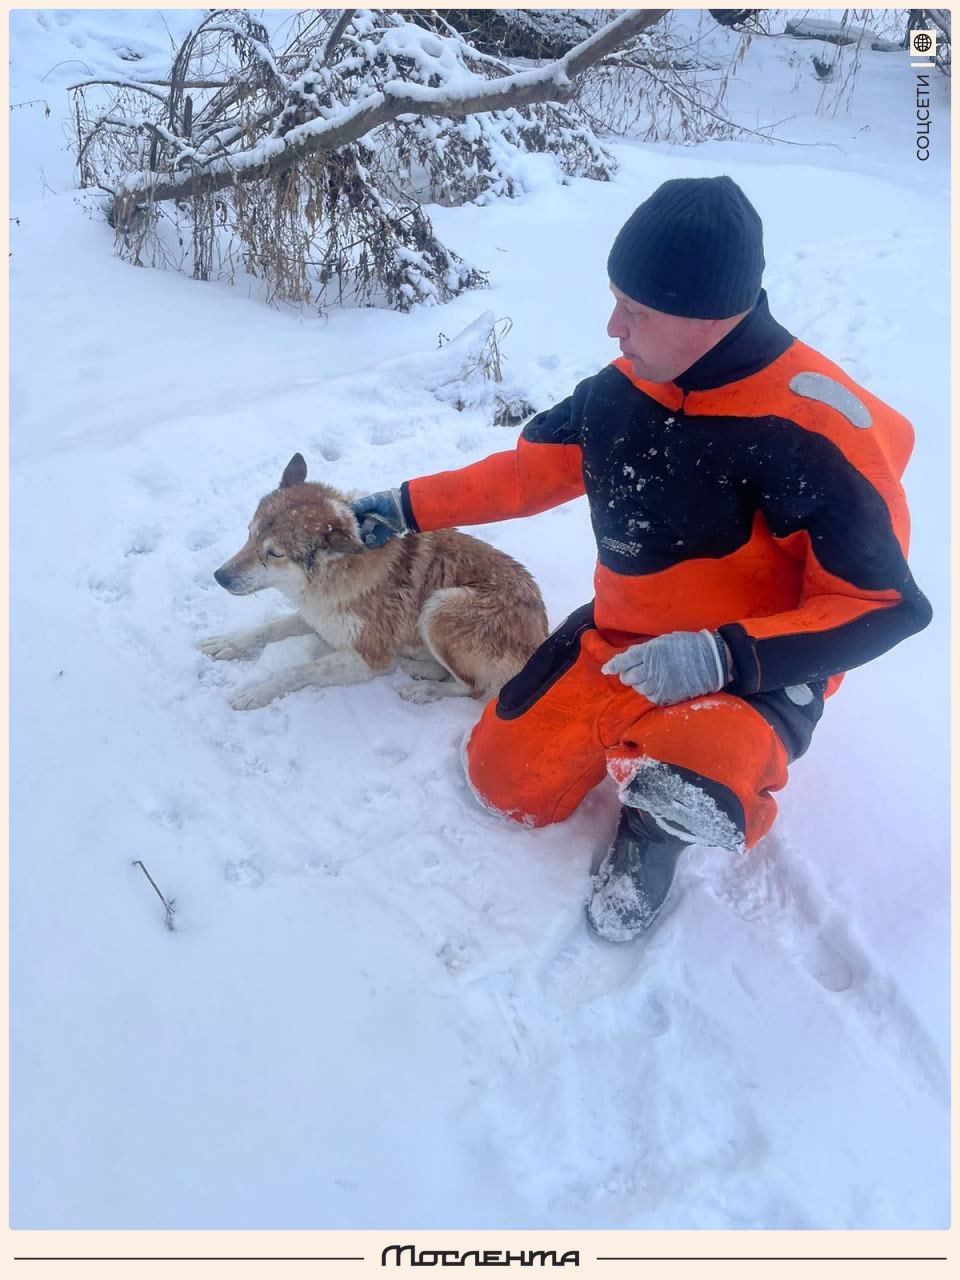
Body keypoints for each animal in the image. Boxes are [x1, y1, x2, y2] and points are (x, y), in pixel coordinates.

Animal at [200, 453, 547, 711]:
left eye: (274, 554)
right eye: (250, 533)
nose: (219, 577)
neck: (333, 577)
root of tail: (541, 639)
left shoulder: (369, 657)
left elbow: (301, 669)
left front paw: (259, 691)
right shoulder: (318, 618)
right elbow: (269, 628)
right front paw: (229, 643)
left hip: (441, 605)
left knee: (473, 687)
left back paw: (423, 688)